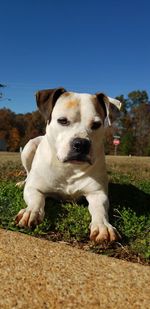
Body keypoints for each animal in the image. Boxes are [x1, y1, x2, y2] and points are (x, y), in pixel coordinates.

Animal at [15, 87, 121, 243]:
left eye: (96, 125)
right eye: (63, 121)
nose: (81, 143)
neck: (69, 168)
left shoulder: (97, 193)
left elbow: (100, 209)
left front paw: (103, 226)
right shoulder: (34, 188)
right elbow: (37, 199)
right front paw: (30, 212)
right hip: (29, 147)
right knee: (28, 173)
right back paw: (22, 182)